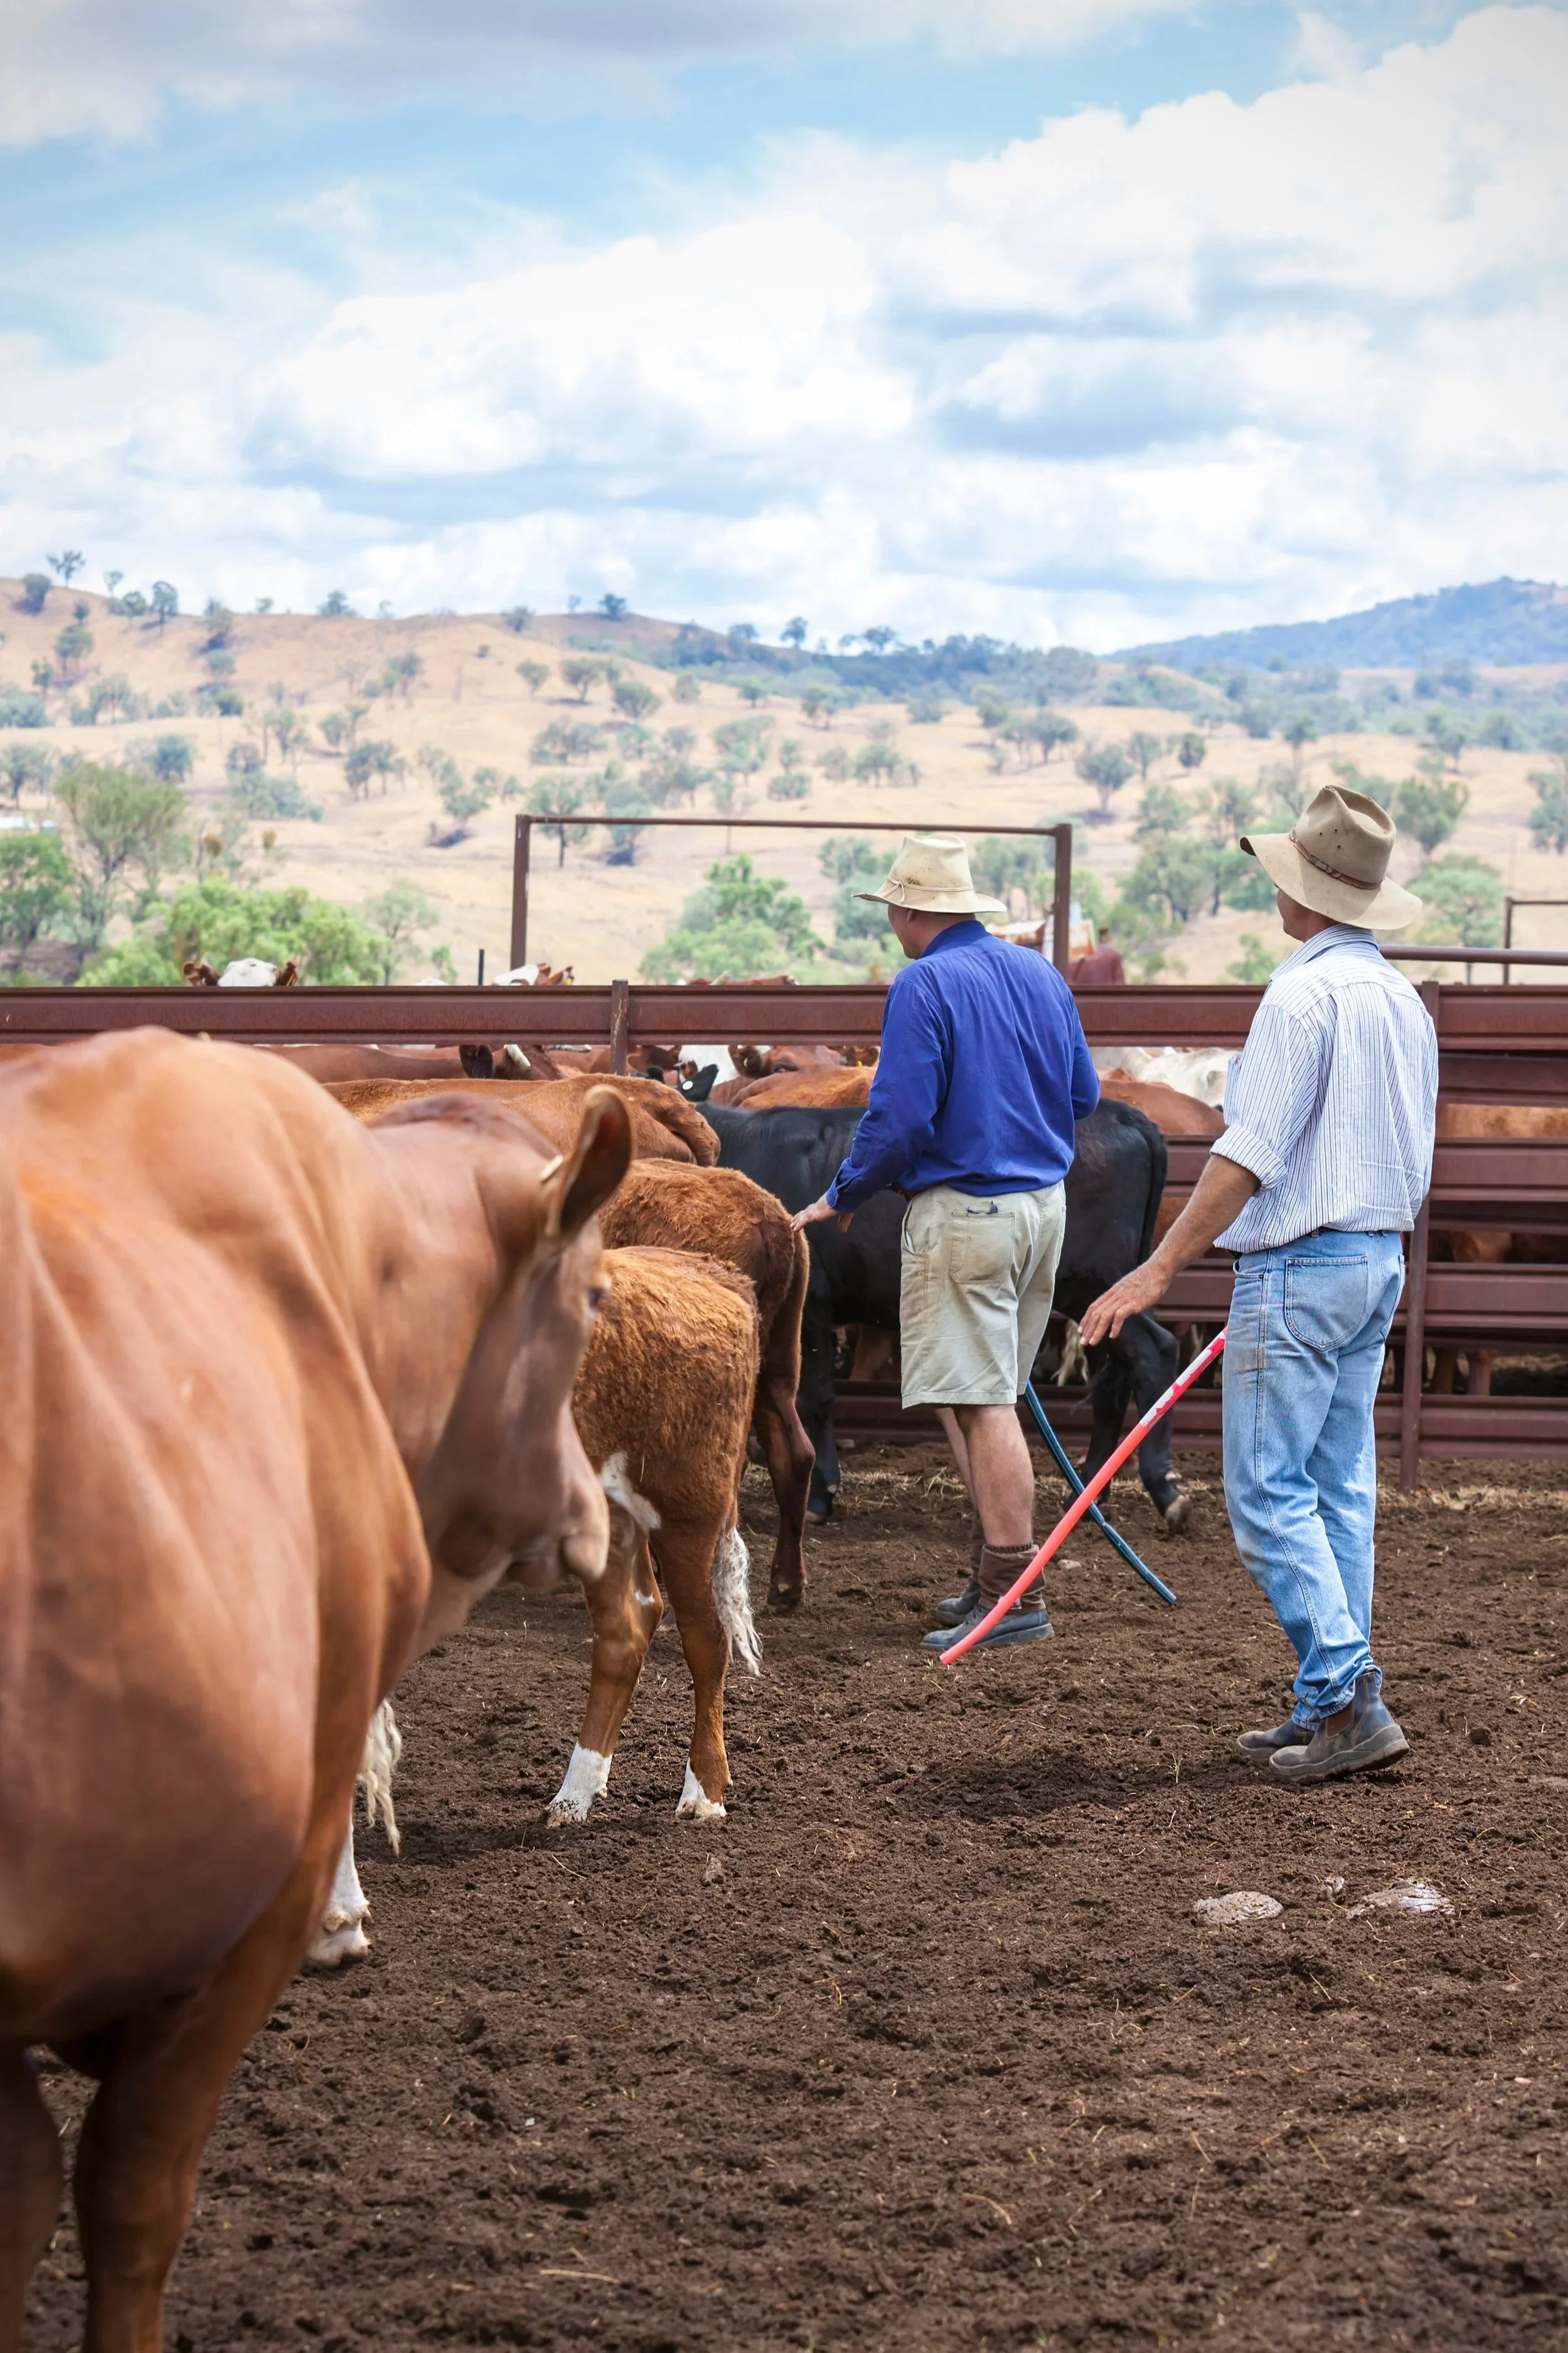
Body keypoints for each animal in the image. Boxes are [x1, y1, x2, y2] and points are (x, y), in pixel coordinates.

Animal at [700, 1099, 1188, 1530]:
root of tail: (1125, 1115)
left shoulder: (812, 1309)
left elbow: (814, 1399)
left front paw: (820, 1497)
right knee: (1113, 1377)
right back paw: (1084, 1495)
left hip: (1094, 1282)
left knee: (1155, 1351)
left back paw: (1164, 1490)